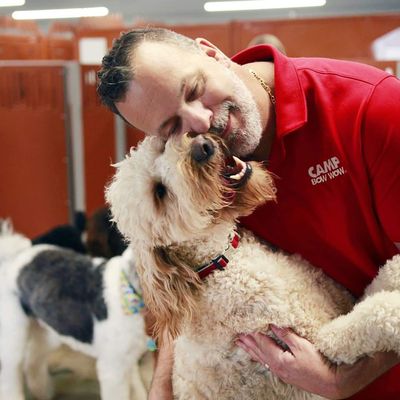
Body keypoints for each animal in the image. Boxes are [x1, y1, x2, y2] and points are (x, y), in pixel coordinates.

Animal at [0, 222, 149, 400]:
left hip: (49, 327)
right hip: (14, 333)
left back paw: (43, 391)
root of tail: (14, 255)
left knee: (33, 360)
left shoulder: (128, 359)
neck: (129, 290)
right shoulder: (113, 369)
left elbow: (138, 389)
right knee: (10, 373)